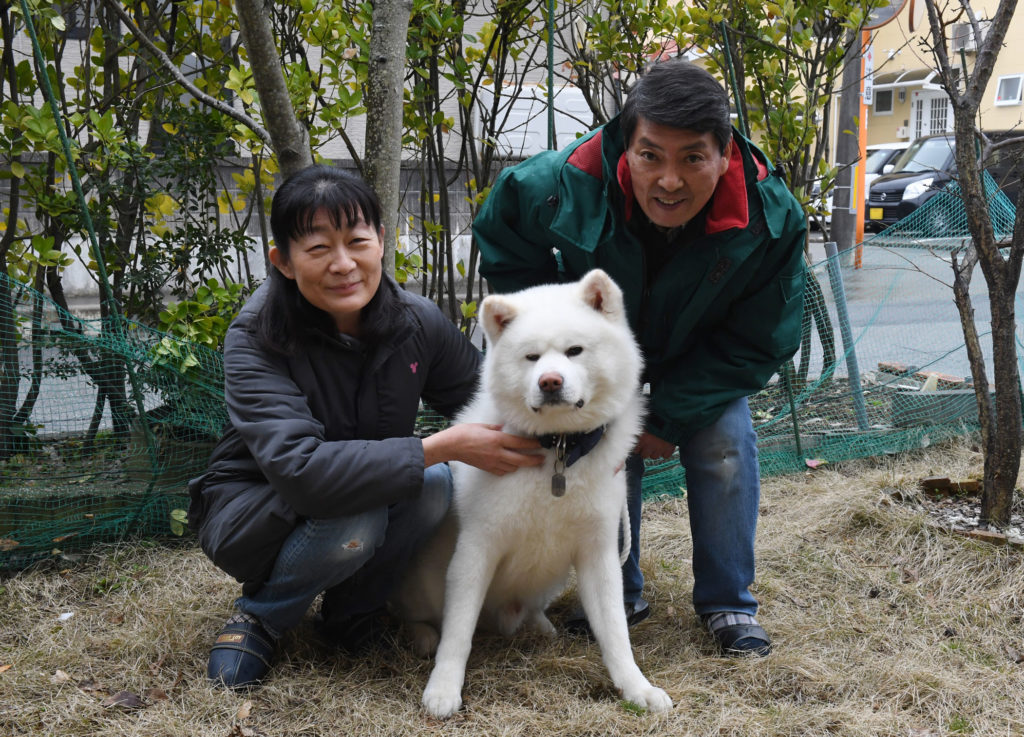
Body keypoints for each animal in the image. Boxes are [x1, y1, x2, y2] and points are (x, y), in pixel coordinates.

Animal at [391, 268, 671, 716]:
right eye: (531, 358)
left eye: (574, 351)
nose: (550, 381)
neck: (558, 450)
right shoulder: (477, 548)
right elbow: (458, 633)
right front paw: (443, 688)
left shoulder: (598, 552)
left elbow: (615, 631)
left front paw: (636, 688)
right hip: (423, 583)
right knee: (424, 617)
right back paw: (424, 636)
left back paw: (540, 625)